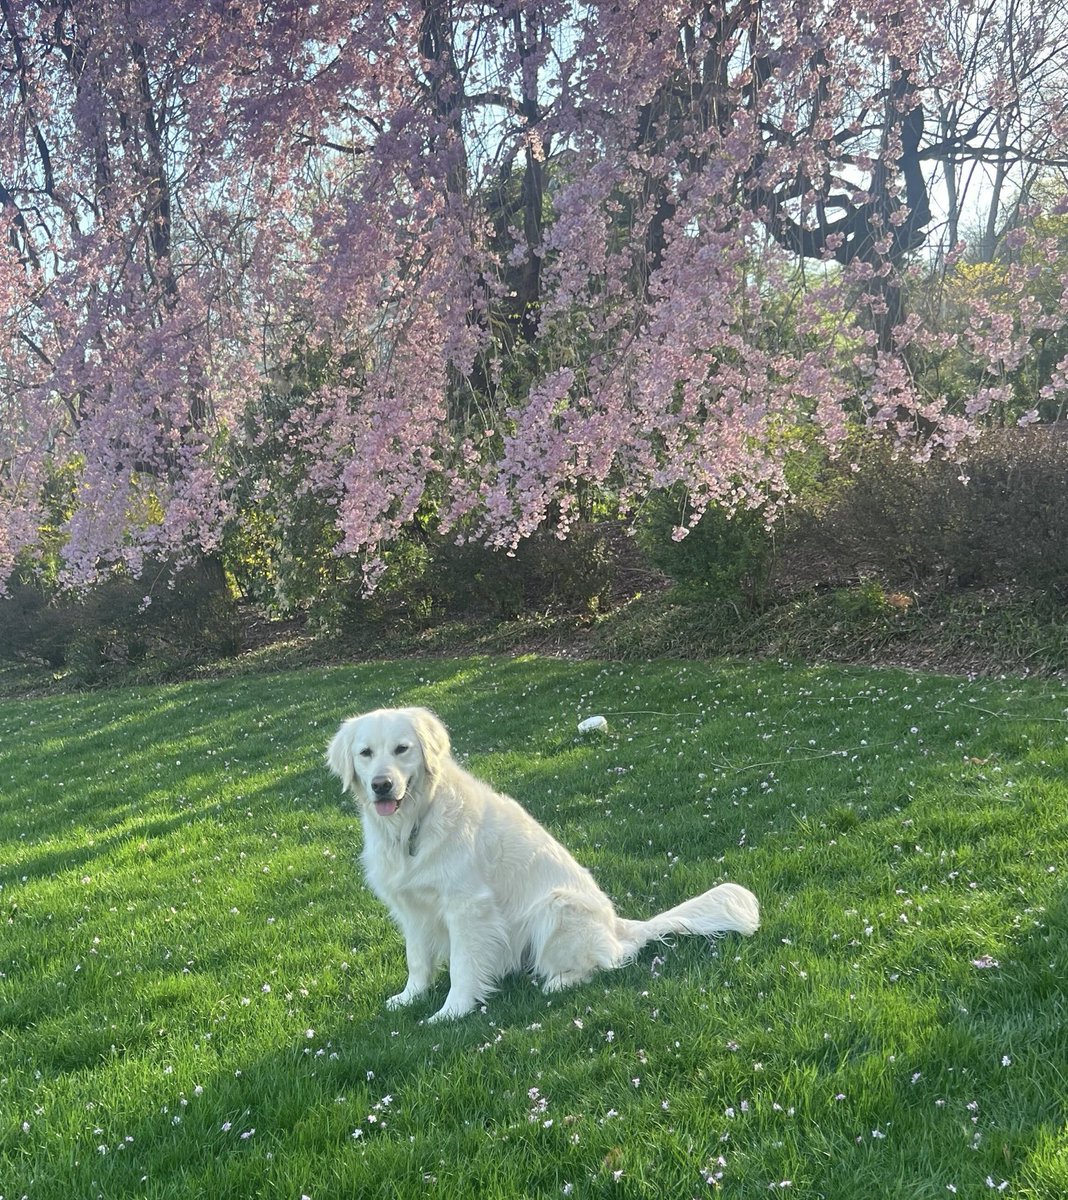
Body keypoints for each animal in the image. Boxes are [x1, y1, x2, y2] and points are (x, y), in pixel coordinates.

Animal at [324, 700, 758, 1022]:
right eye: (365, 754)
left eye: (402, 749)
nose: (382, 785)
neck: (413, 824)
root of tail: (618, 926)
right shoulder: (412, 907)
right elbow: (417, 960)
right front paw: (409, 997)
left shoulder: (468, 907)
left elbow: (463, 966)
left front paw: (451, 1012)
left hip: (556, 905)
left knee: (611, 961)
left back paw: (558, 981)